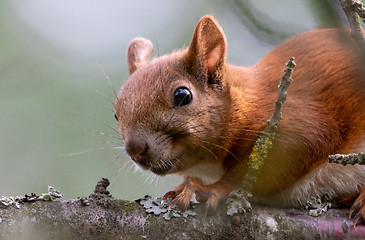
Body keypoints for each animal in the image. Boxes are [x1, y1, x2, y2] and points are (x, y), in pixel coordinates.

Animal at [114, 15, 364, 219]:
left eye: (182, 96)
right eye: (116, 113)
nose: (135, 149)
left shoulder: (298, 123)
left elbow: (302, 145)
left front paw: (209, 189)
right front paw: (185, 185)